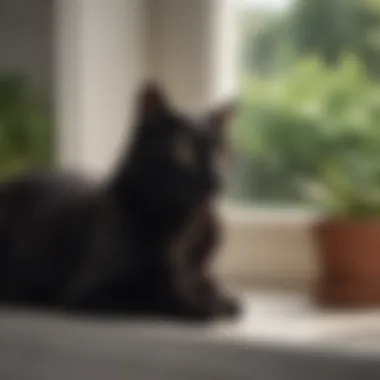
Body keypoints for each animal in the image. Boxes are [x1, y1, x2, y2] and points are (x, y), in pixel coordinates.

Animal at [0, 84, 239, 320]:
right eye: (183, 151)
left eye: (221, 153)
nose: (216, 179)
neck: (181, 228)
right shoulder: (87, 291)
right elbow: (152, 293)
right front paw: (203, 303)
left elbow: (202, 281)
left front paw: (219, 298)